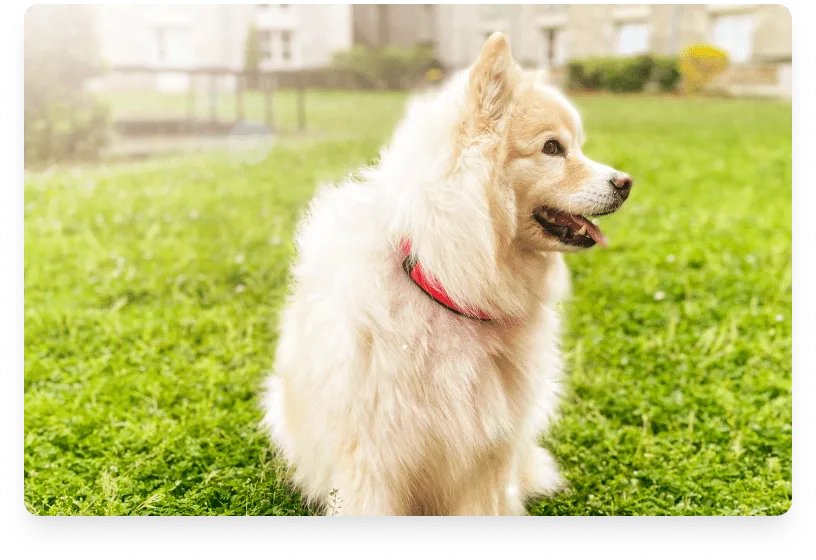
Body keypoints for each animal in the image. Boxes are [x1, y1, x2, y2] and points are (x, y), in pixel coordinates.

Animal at [262, 31, 632, 516]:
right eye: (553, 148)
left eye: (578, 146)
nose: (626, 182)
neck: (447, 284)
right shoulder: (372, 460)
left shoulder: (486, 457)